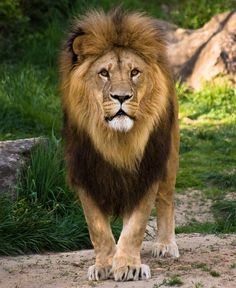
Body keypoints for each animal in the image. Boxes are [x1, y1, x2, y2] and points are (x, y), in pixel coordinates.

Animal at [60, 8, 180, 282]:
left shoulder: (146, 173)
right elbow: (98, 229)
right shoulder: (86, 174)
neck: (116, 141)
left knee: (166, 201)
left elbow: (135, 227)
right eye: (104, 73)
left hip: (170, 160)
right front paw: (104, 264)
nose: (122, 97)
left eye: (135, 72)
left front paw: (128, 266)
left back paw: (166, 244)